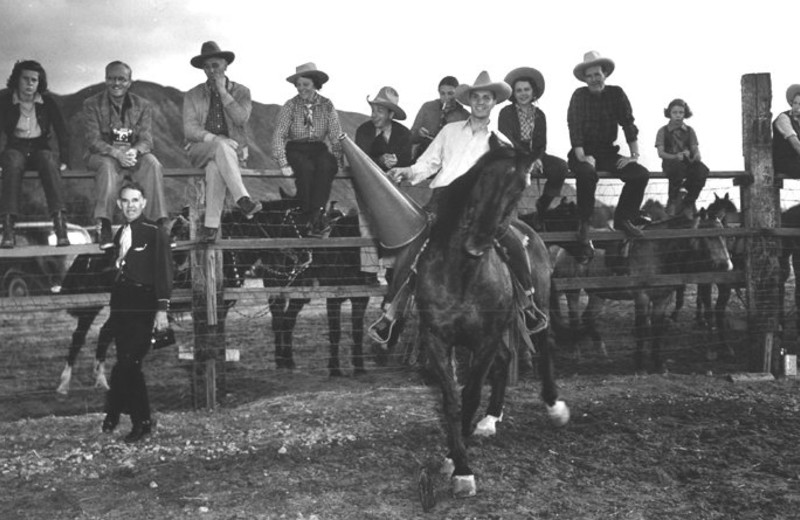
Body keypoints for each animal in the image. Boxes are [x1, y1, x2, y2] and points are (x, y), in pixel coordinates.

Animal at [223, 193, 376, 376]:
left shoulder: (361, 298)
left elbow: (357, 331)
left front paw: (359, 366)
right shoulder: (333, 298)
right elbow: (335, 332)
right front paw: (334, 368)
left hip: (298, 296)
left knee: (287, 322)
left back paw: (288, 360)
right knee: (279, 322)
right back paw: (280, 359)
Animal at [412, 136, 568, 502]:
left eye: (521, 185)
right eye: (482, 178)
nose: (477, 243)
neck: (462, 273)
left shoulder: (484, 340)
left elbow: (470, 395)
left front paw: (460, 467)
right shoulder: (437, 340)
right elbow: (452, 400)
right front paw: (456, 456)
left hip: (536, 307)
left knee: (544, 344)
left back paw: (553, 406)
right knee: (507, 358)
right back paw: (490, 419)